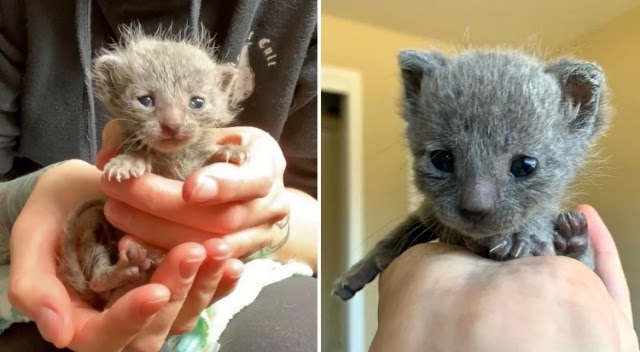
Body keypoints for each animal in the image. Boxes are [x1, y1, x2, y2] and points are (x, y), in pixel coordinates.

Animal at [58, 26, 248, 310]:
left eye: (197, 102)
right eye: (146, 100)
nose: (173, 125)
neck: (170, 158)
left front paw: (228, 151)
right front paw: (129, 161)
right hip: (92, 221)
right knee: (95, 279)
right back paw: (120, 272)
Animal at [336, 48, 608, 300]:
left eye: (525, 165)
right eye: (441, 159)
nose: (475, 208)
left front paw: (521, 236)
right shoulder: (428, 213)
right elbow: (397, 233)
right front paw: (357, 271)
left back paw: (573, 236)